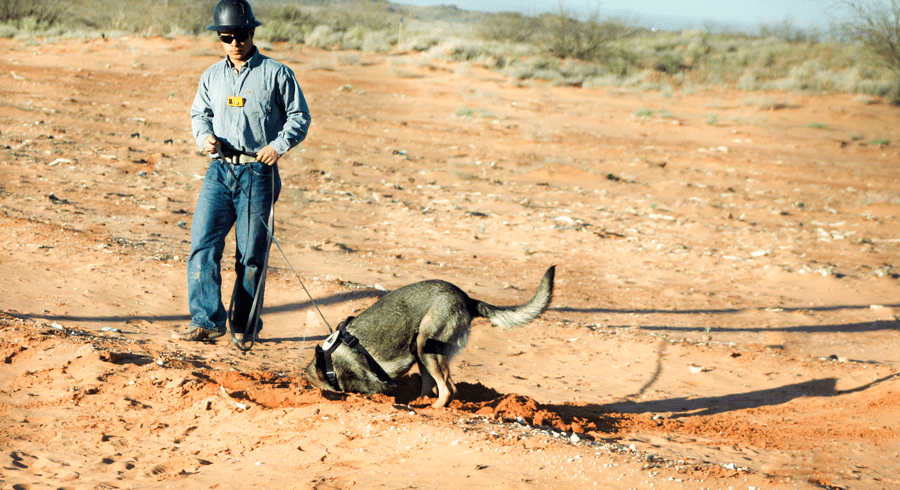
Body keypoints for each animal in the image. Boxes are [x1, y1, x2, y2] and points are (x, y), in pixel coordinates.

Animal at [304, 266, 556, 408]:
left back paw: (433, 409)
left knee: (448, 389)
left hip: (425, 347)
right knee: (431, 386)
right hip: (421, 353)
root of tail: (467, 298)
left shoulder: (375, 385)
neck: (327, 365)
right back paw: (421, 403)